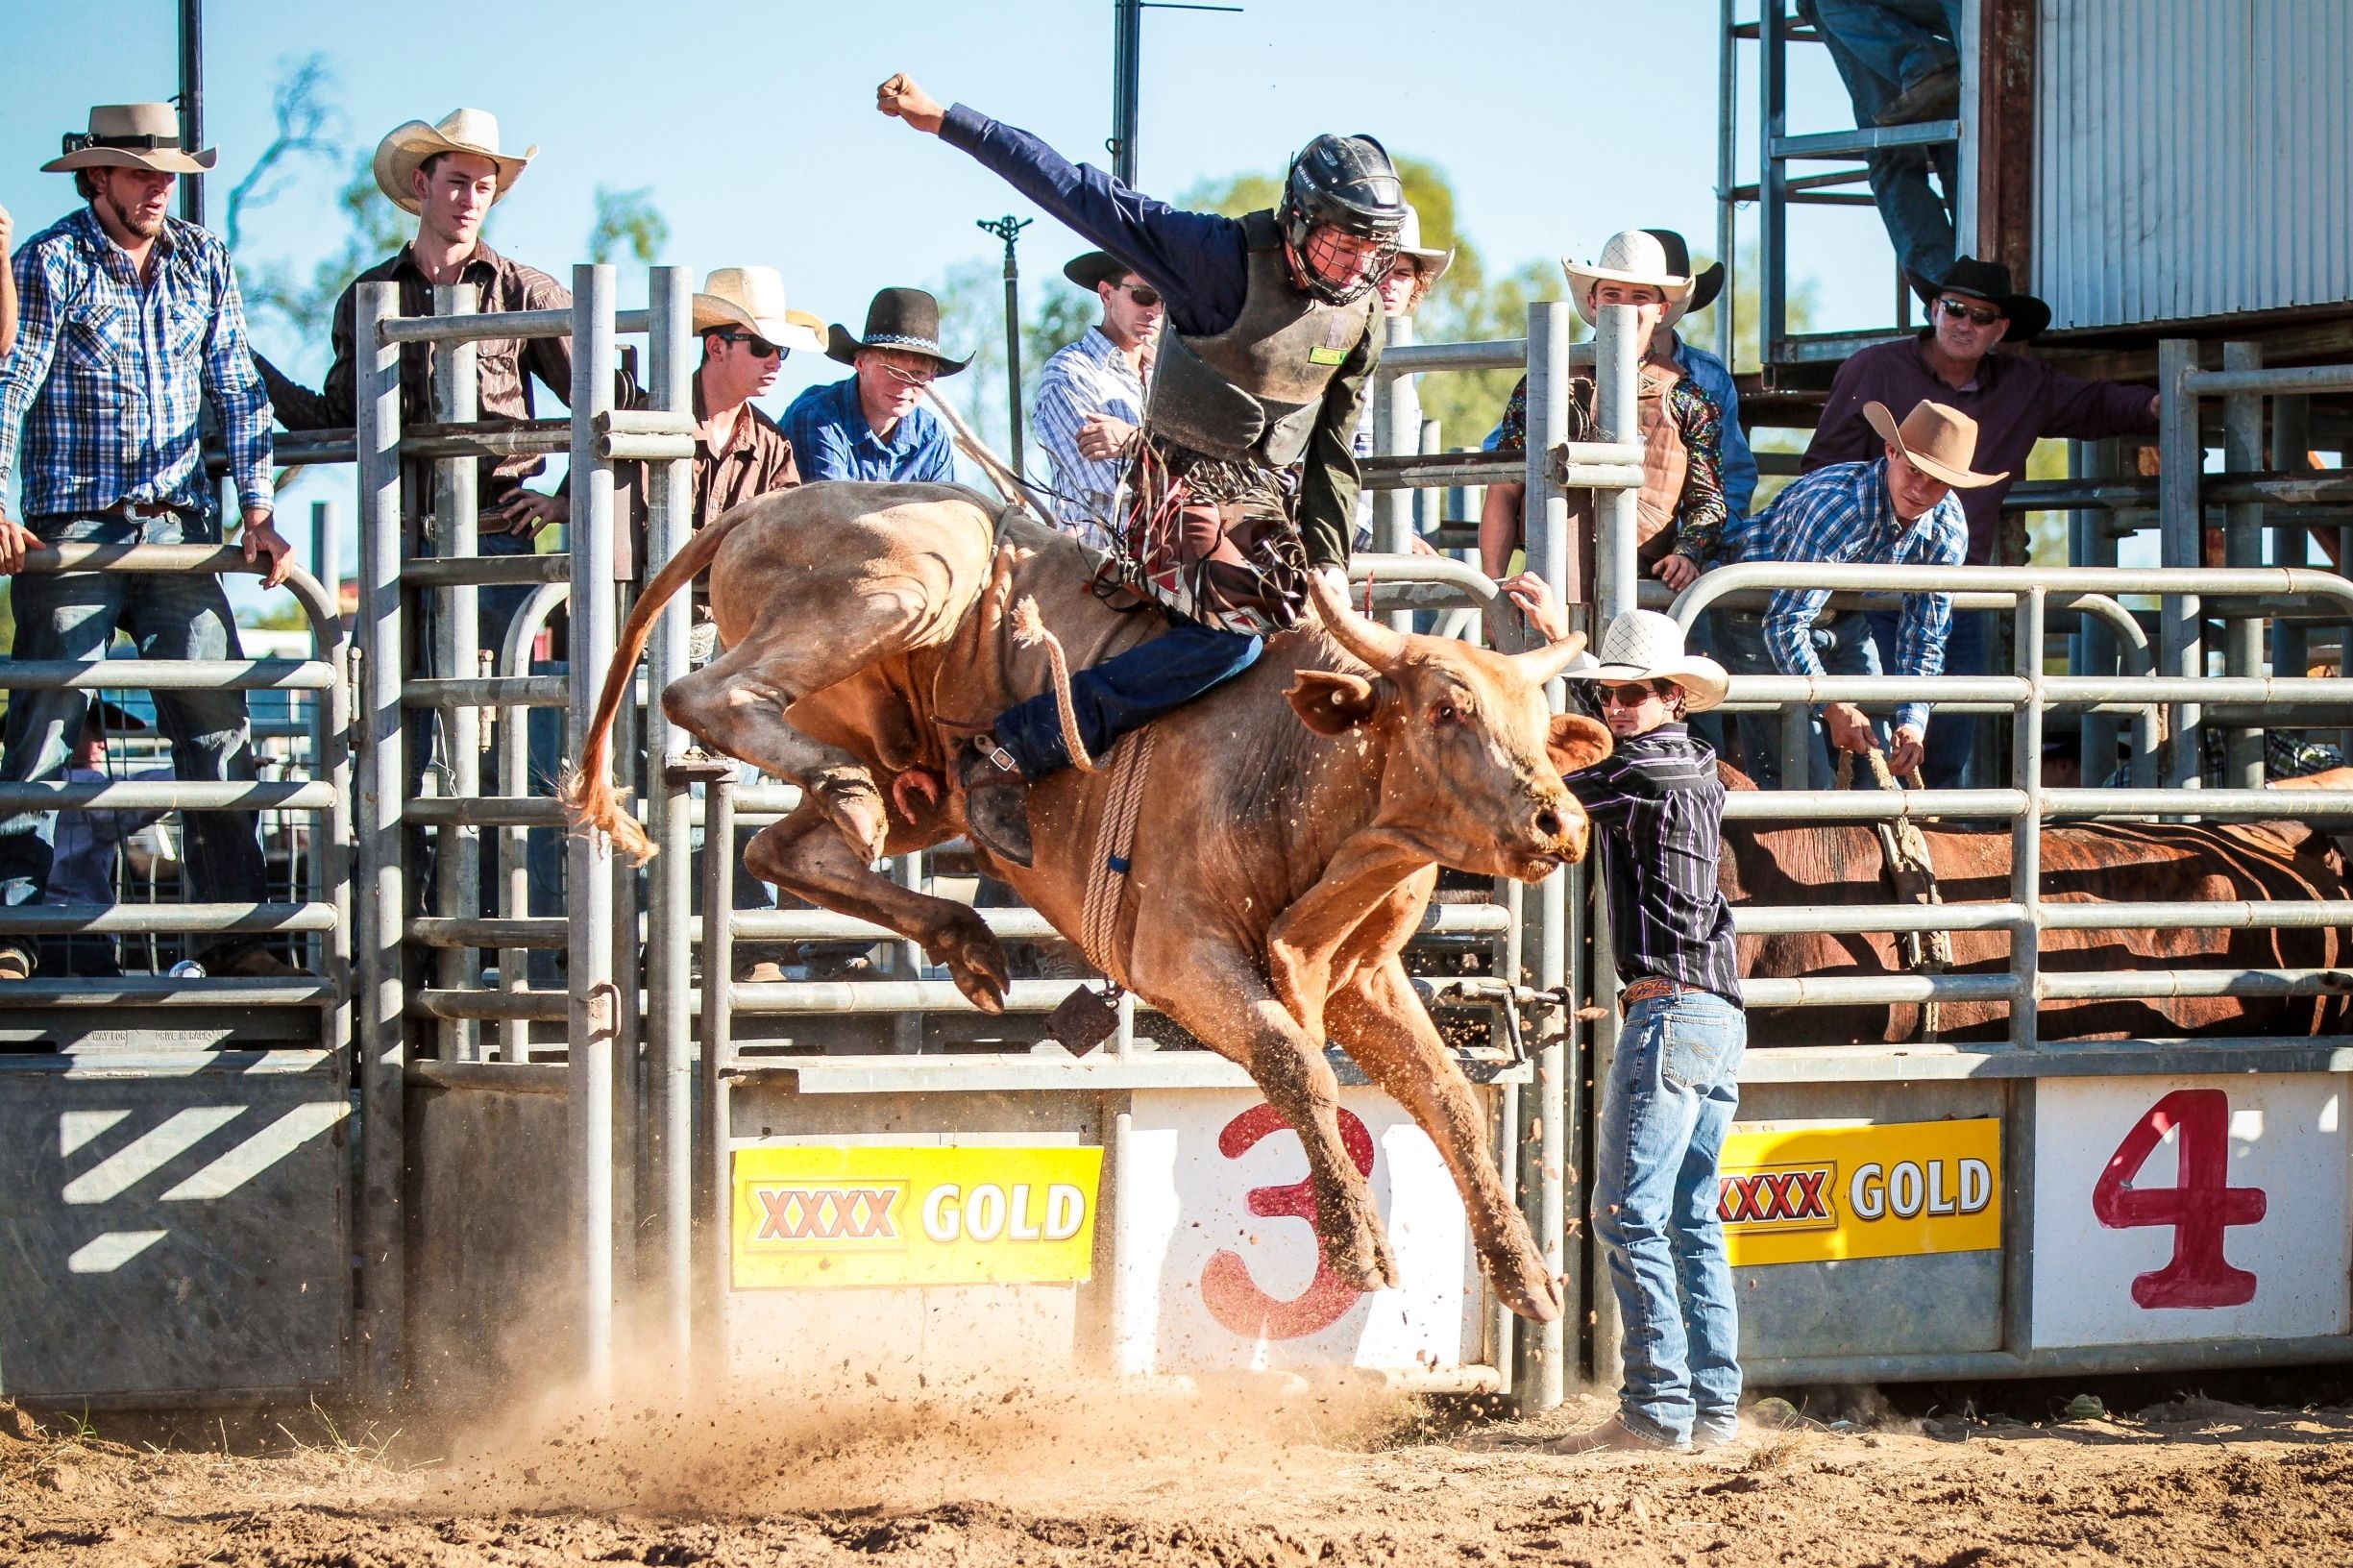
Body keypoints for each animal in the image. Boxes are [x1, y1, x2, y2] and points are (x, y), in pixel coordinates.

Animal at [559, 479, 1609, 1318]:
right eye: (1446, 709)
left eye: (1535, 720)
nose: (1560, 822)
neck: (1304, 769)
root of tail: (760, 505)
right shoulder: (1180, 958)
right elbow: (1297, 1066)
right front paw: (1356, 1247)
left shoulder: (1361, 973)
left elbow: (1447, 1098)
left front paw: (1524, 1274)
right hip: (912, 577)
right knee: (701, 696)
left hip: (908, 773)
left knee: (786, 842)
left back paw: (958, 929)